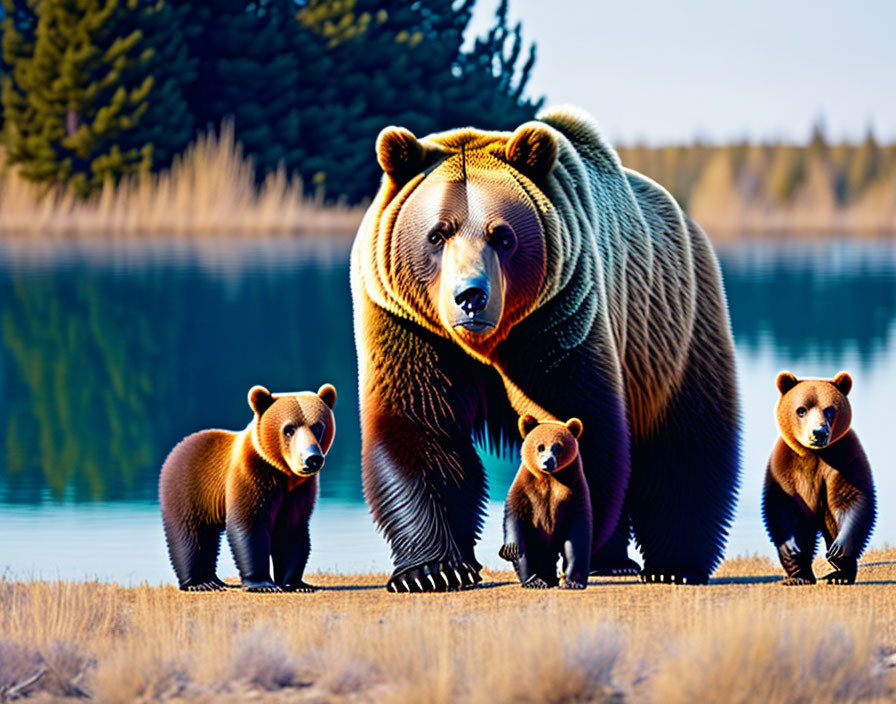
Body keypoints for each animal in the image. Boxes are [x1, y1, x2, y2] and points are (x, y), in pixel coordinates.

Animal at [352, 106, 744, 588]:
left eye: (502, 235)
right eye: (437, 234)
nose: (470, 296)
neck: (486, 344)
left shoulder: (557, 319)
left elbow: (576, 424)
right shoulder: (408, 324)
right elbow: (418, 427)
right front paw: (432, 571)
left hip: (674, 323)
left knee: (686, 440)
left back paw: (674, 566)